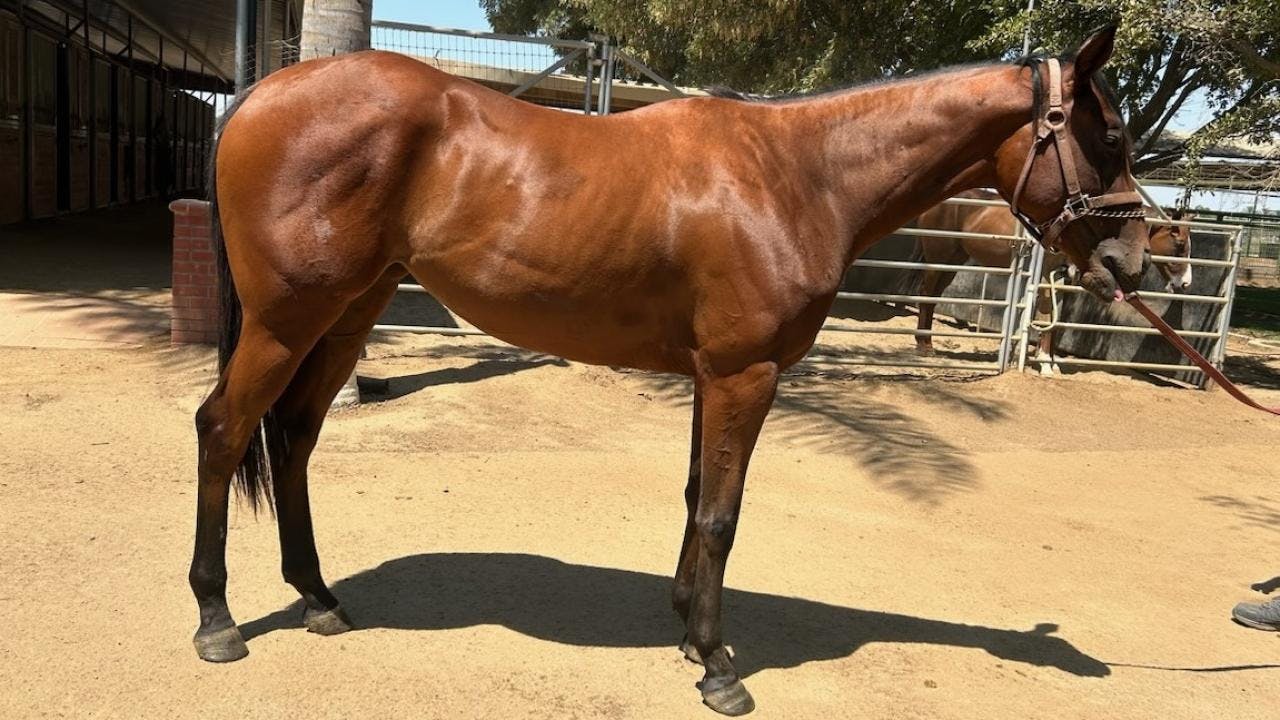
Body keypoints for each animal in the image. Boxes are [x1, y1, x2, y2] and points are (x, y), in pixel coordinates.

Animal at [189, 28, 1152, 712]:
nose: (1135, 262)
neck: (797, 175)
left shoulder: (709, 376)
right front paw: (720, 668)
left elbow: (697, 497)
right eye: (1108, 136)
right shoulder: (744, 374)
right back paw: (218, 619)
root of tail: (260, 97)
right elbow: (723, 514)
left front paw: (690, 630)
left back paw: (319, 598)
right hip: (287, 319)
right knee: (223, 430)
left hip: (347, 316)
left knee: (293, 439)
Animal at [911, 188, 1187, 366]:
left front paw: (1044, 359)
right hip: (938, 258)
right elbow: (1046, 315)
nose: (1184, 283)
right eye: (1181, 244)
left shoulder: (1064, 277)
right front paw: (1043, 361)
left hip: (953, 261)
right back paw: (925, 346)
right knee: (926, 293)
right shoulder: (1045, 275)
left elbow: (1056, 317)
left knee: (933, 297)